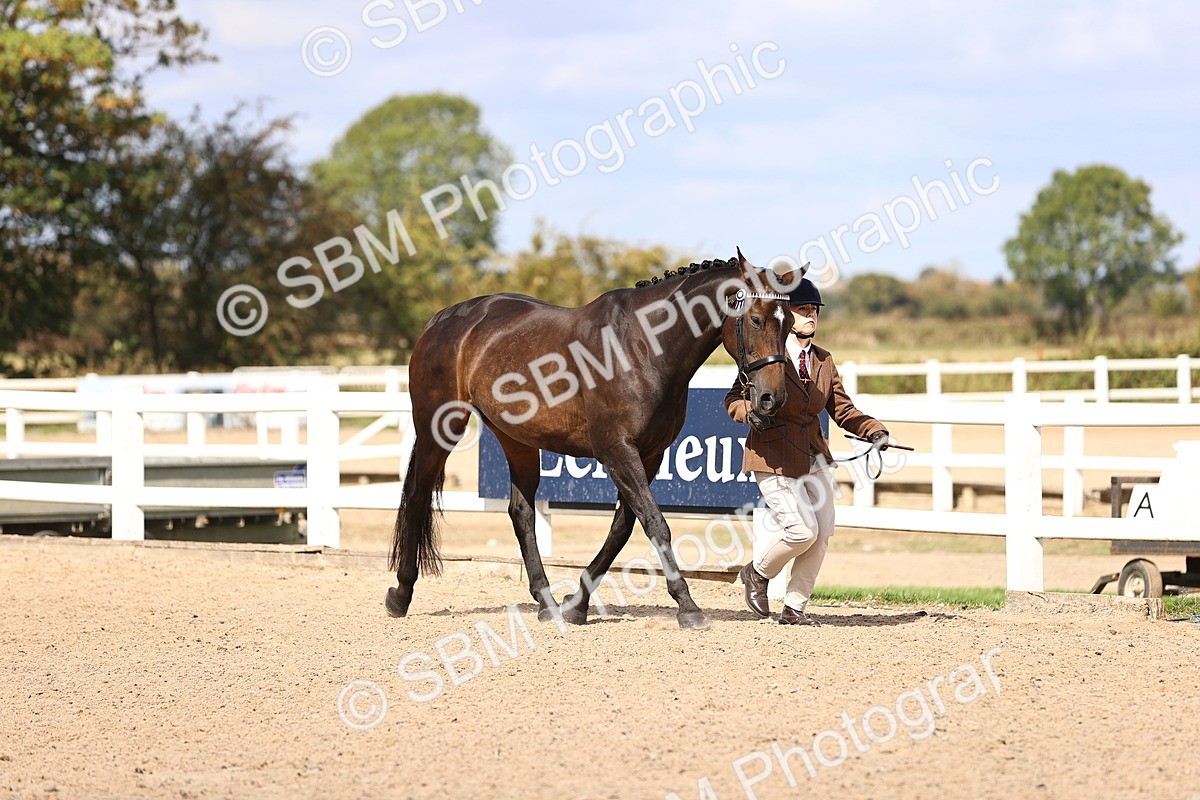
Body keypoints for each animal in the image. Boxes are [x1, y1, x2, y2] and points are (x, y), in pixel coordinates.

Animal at [386, 248, 796, 629]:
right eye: (756, 319)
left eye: (789, 322)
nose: (771, 398)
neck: (642, 346)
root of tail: (441, 320)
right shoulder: (617, 452)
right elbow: (655, 524)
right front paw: (688, 607)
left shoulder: (648, 455)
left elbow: (622, 528)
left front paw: (575, 605)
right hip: (439, 427)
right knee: (418, 494)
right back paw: (401, 594)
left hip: (517, 439)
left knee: (521, 512)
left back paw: (547, 602)